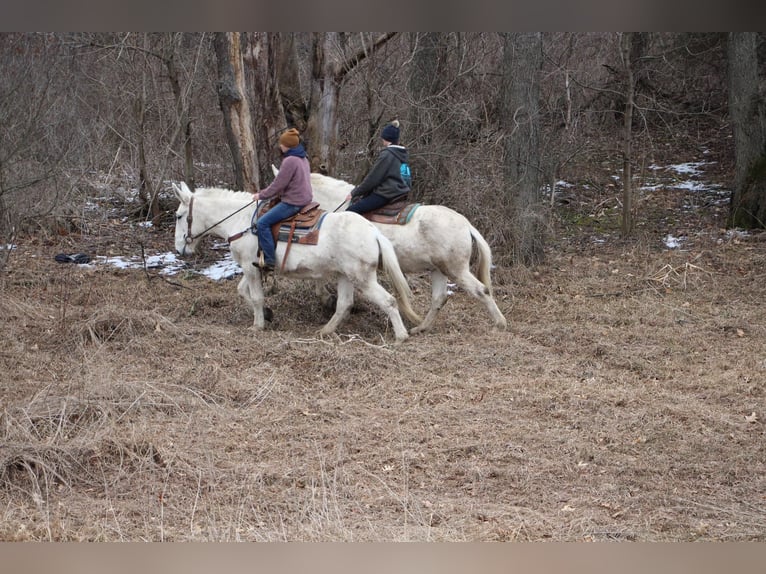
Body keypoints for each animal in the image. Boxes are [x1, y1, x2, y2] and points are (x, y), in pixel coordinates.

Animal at [172, 184, 424, 344]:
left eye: (178, 216)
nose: (179, 248)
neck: (241, 221)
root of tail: (374, 232)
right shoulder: (251, 267)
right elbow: (242, 290)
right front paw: (268, 314)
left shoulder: (249, 267)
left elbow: (256, 296)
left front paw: (258, 324)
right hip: (345, 276)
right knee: (344, 304)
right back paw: (325, 330)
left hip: (362, 278)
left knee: (389, 301)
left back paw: (400, 336)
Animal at [278, 169, 510, 332]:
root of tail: (467, 224)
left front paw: (326, 299)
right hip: (438, 270)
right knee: (439, 299)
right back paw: (420, 327)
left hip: (457, 270)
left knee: (482, 290)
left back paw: (499, 323)